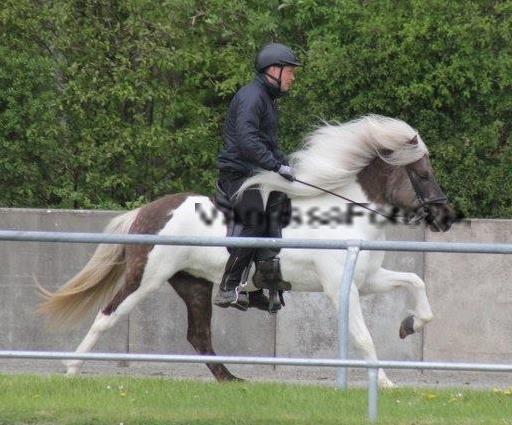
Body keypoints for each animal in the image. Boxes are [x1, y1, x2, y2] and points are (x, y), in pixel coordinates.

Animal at [40, 114, 456, 386]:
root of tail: (148, 211)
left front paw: (410, 325)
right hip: (146, 277)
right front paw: (386, 384)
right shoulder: (341, 288)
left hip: (192, 284)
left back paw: (231, 379)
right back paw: (71, 370)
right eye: (422, 174)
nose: (445, 217)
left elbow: (416, 282)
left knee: (199, 336)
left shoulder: (367, 279)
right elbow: (363, 336)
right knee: (107, 315)